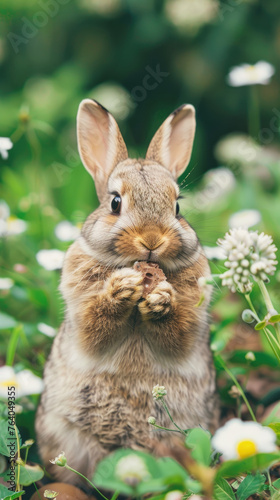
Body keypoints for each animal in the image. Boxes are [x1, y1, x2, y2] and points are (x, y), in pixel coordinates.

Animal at [35, 99, 219, 486]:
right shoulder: (81, 310)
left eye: (177, 206)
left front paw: (160, 300)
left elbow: (177, 333)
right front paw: (122, 289)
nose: (152, 239)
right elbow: (95, 325)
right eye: (115, 203)